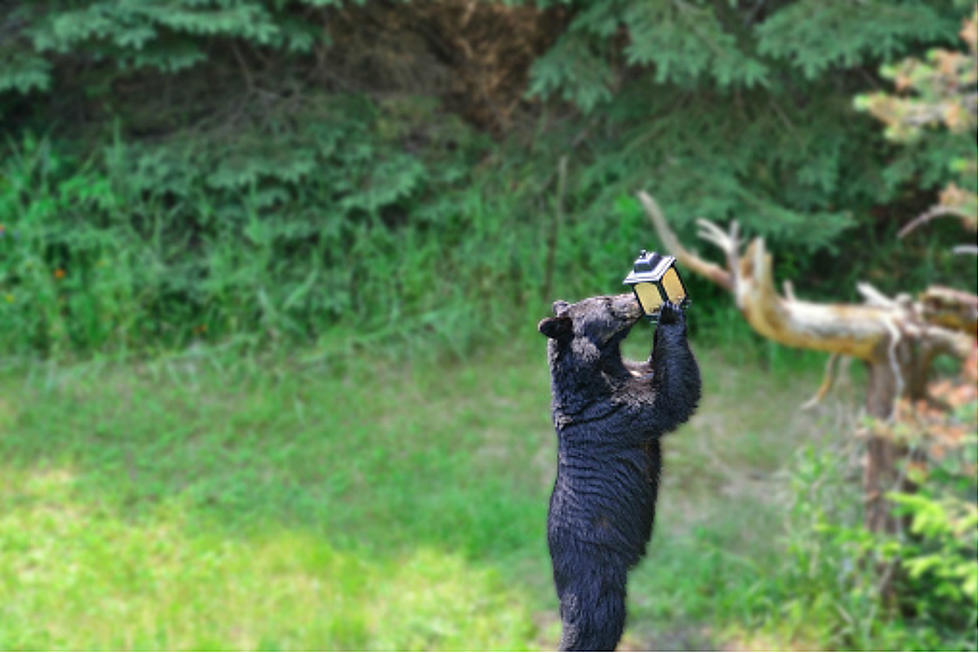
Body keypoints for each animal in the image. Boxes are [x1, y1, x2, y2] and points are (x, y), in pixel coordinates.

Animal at [540, 292, 700, 648]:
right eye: (607, 302)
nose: (632, 297)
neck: (604, 368)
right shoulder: (618, 411)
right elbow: (670, 399)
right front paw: (670, 315)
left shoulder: (632, 374)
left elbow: (657, 372)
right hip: (594, 566)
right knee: (595, 618)